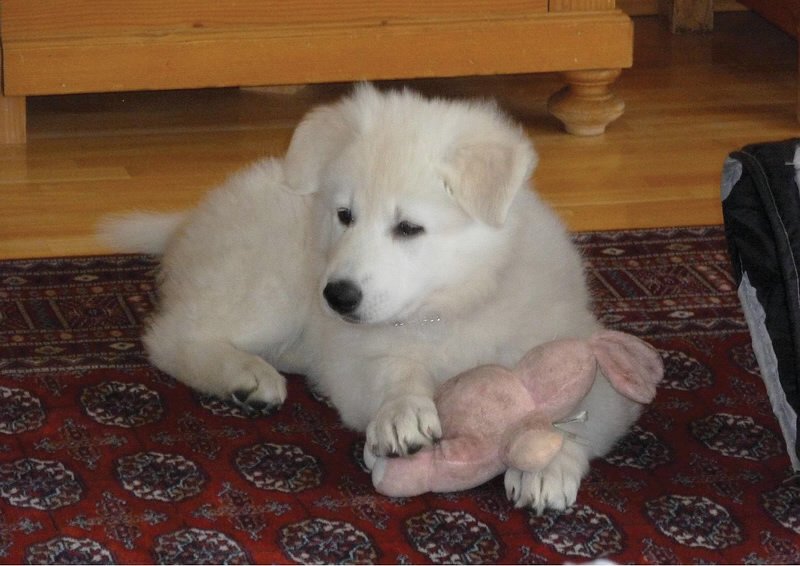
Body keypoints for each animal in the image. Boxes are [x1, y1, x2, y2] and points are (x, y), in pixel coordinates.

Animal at [100, 84, 645, 513]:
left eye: (408, 228)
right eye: (345, 215)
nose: (337, 296)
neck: (450, 308)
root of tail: (188, 221)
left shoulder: (583, 347)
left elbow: (587, 406)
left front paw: (548, 465)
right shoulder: (358, 355)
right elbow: (392, 370)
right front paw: (403, 411)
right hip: (270, 284)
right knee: (173, 335)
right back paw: (247, 376)